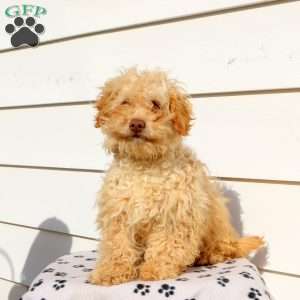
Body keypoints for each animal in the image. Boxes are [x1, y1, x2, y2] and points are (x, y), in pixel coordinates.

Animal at [90, 68, 264, 286]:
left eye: (155, 104)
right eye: (125, 102)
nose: (137, 124)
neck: (144, 166)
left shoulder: (175, 214)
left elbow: (166, 245)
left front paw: (156, 268)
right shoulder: (119, 214)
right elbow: (118, 246)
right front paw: (112, 271)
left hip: (218, 226)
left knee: (223, 250)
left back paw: (207, 256)